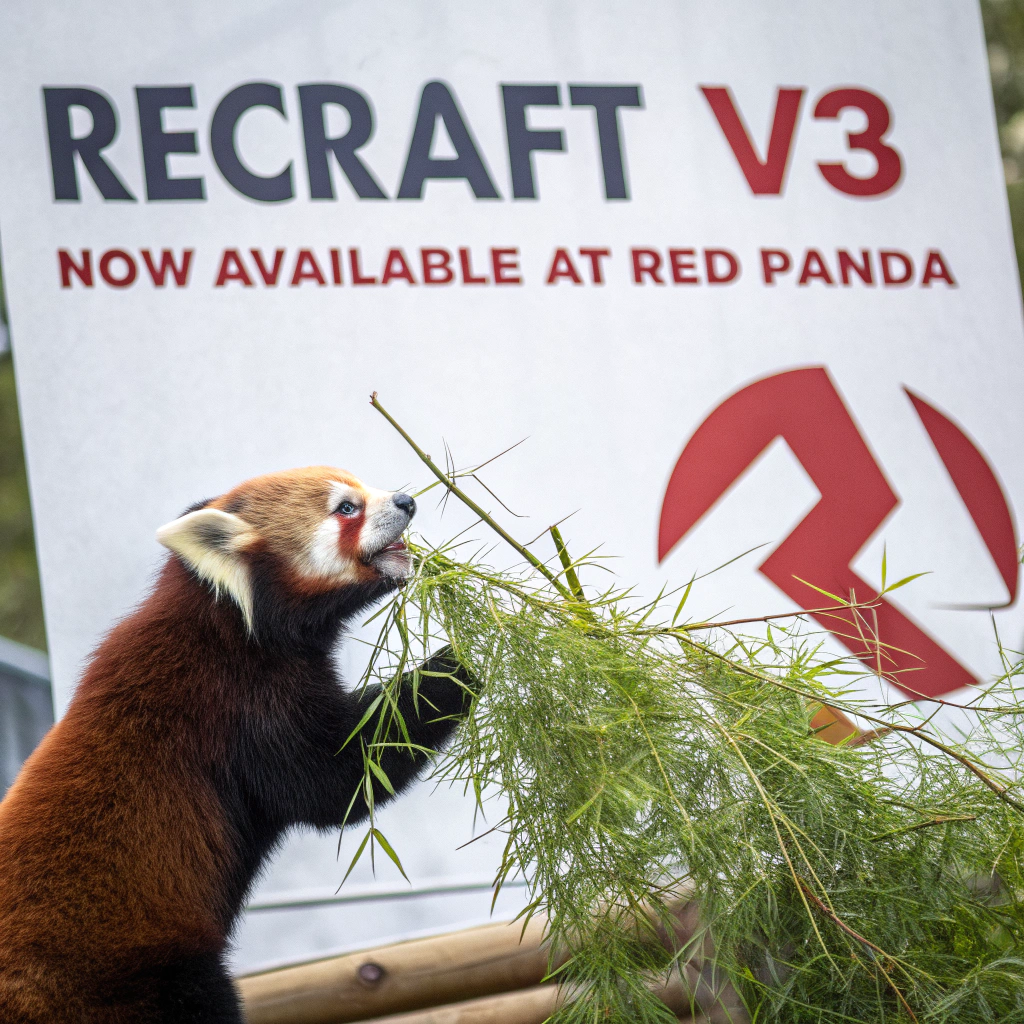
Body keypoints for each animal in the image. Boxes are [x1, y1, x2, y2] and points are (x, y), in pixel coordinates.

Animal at [0, 466, 475, 1023]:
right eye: (346, 509)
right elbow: (335, 781)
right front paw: (466, 659)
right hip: (137, 978)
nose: (405, 501)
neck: (228, 617)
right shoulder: (237, 701)